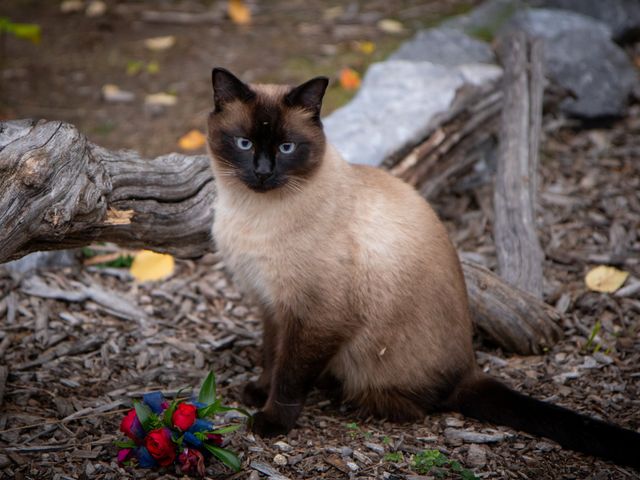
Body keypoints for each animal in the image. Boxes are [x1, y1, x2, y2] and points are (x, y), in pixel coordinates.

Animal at [208, 65, 636, 466]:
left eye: (286, 147)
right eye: (244, 143)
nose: (263, 172)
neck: (252, 213)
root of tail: (469, 370)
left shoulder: (316, 315)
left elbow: (289, 375)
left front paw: (270, 422)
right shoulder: (271, 304)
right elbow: (271, 356)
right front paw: (257, 391)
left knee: (413, 408)